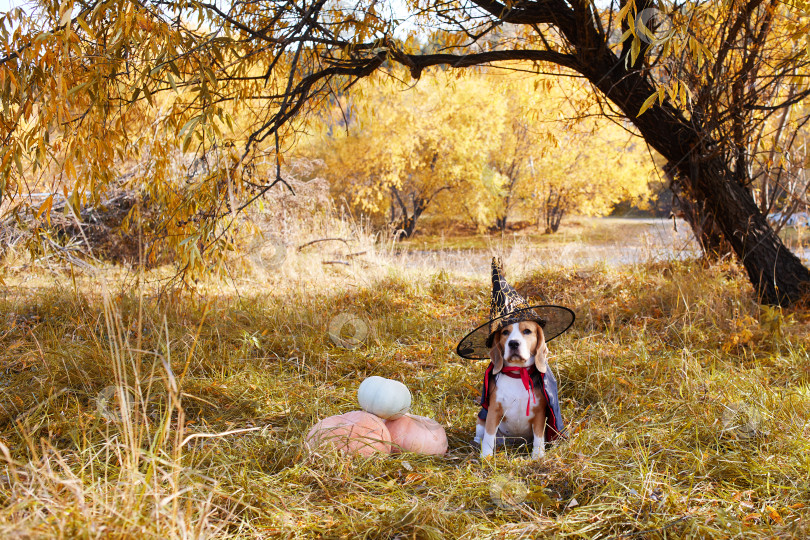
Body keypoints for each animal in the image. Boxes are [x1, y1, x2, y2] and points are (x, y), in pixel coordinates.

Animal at [474, 320, 548, 460]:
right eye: (505, 332)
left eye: (527, 331)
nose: (513, 343)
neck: (518, 373)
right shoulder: (494, 410)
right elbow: (488, 435)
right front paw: (486, 456)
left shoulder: (540, 412)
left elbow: (539, 437)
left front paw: (538, 456)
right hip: (482, 418)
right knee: (481, 433)